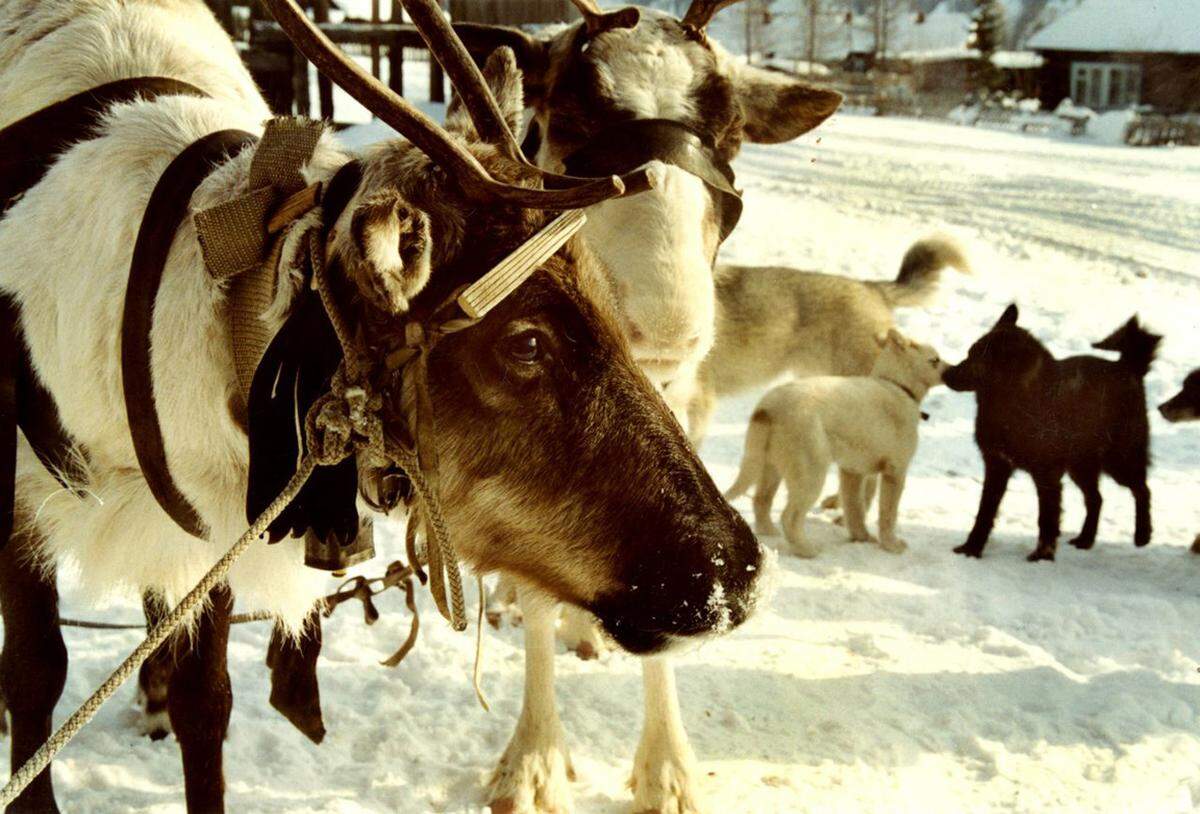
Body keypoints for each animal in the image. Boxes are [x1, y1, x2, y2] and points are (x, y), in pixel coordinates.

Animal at [720, 328, 945, 557]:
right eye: (935, 360)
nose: (951, 368)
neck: (896, 385)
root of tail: (767, 408)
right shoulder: (895, 471)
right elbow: (887, 513)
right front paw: (892, 545)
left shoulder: (853, 472)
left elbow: (855, 508)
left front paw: (862, 538)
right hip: (810, 473)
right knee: (790, 516)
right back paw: (807, 550)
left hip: (769, 464)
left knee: (761, 500)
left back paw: (770, 534)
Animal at [940, 306, 1156, 561]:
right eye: (970, 352)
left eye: (976, 357)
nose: (945, 373)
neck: (1014, 401)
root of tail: (1128, 366)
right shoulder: (997, 466)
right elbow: (984, 513)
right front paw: (972, 548)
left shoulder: (1047, 474)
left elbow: (1046, 518)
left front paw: (1043, 556)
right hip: (1081, 466)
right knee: (1096, 499)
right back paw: (1085, 539)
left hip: (1120, 460)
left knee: (1142, 490)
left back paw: (1142, 534)